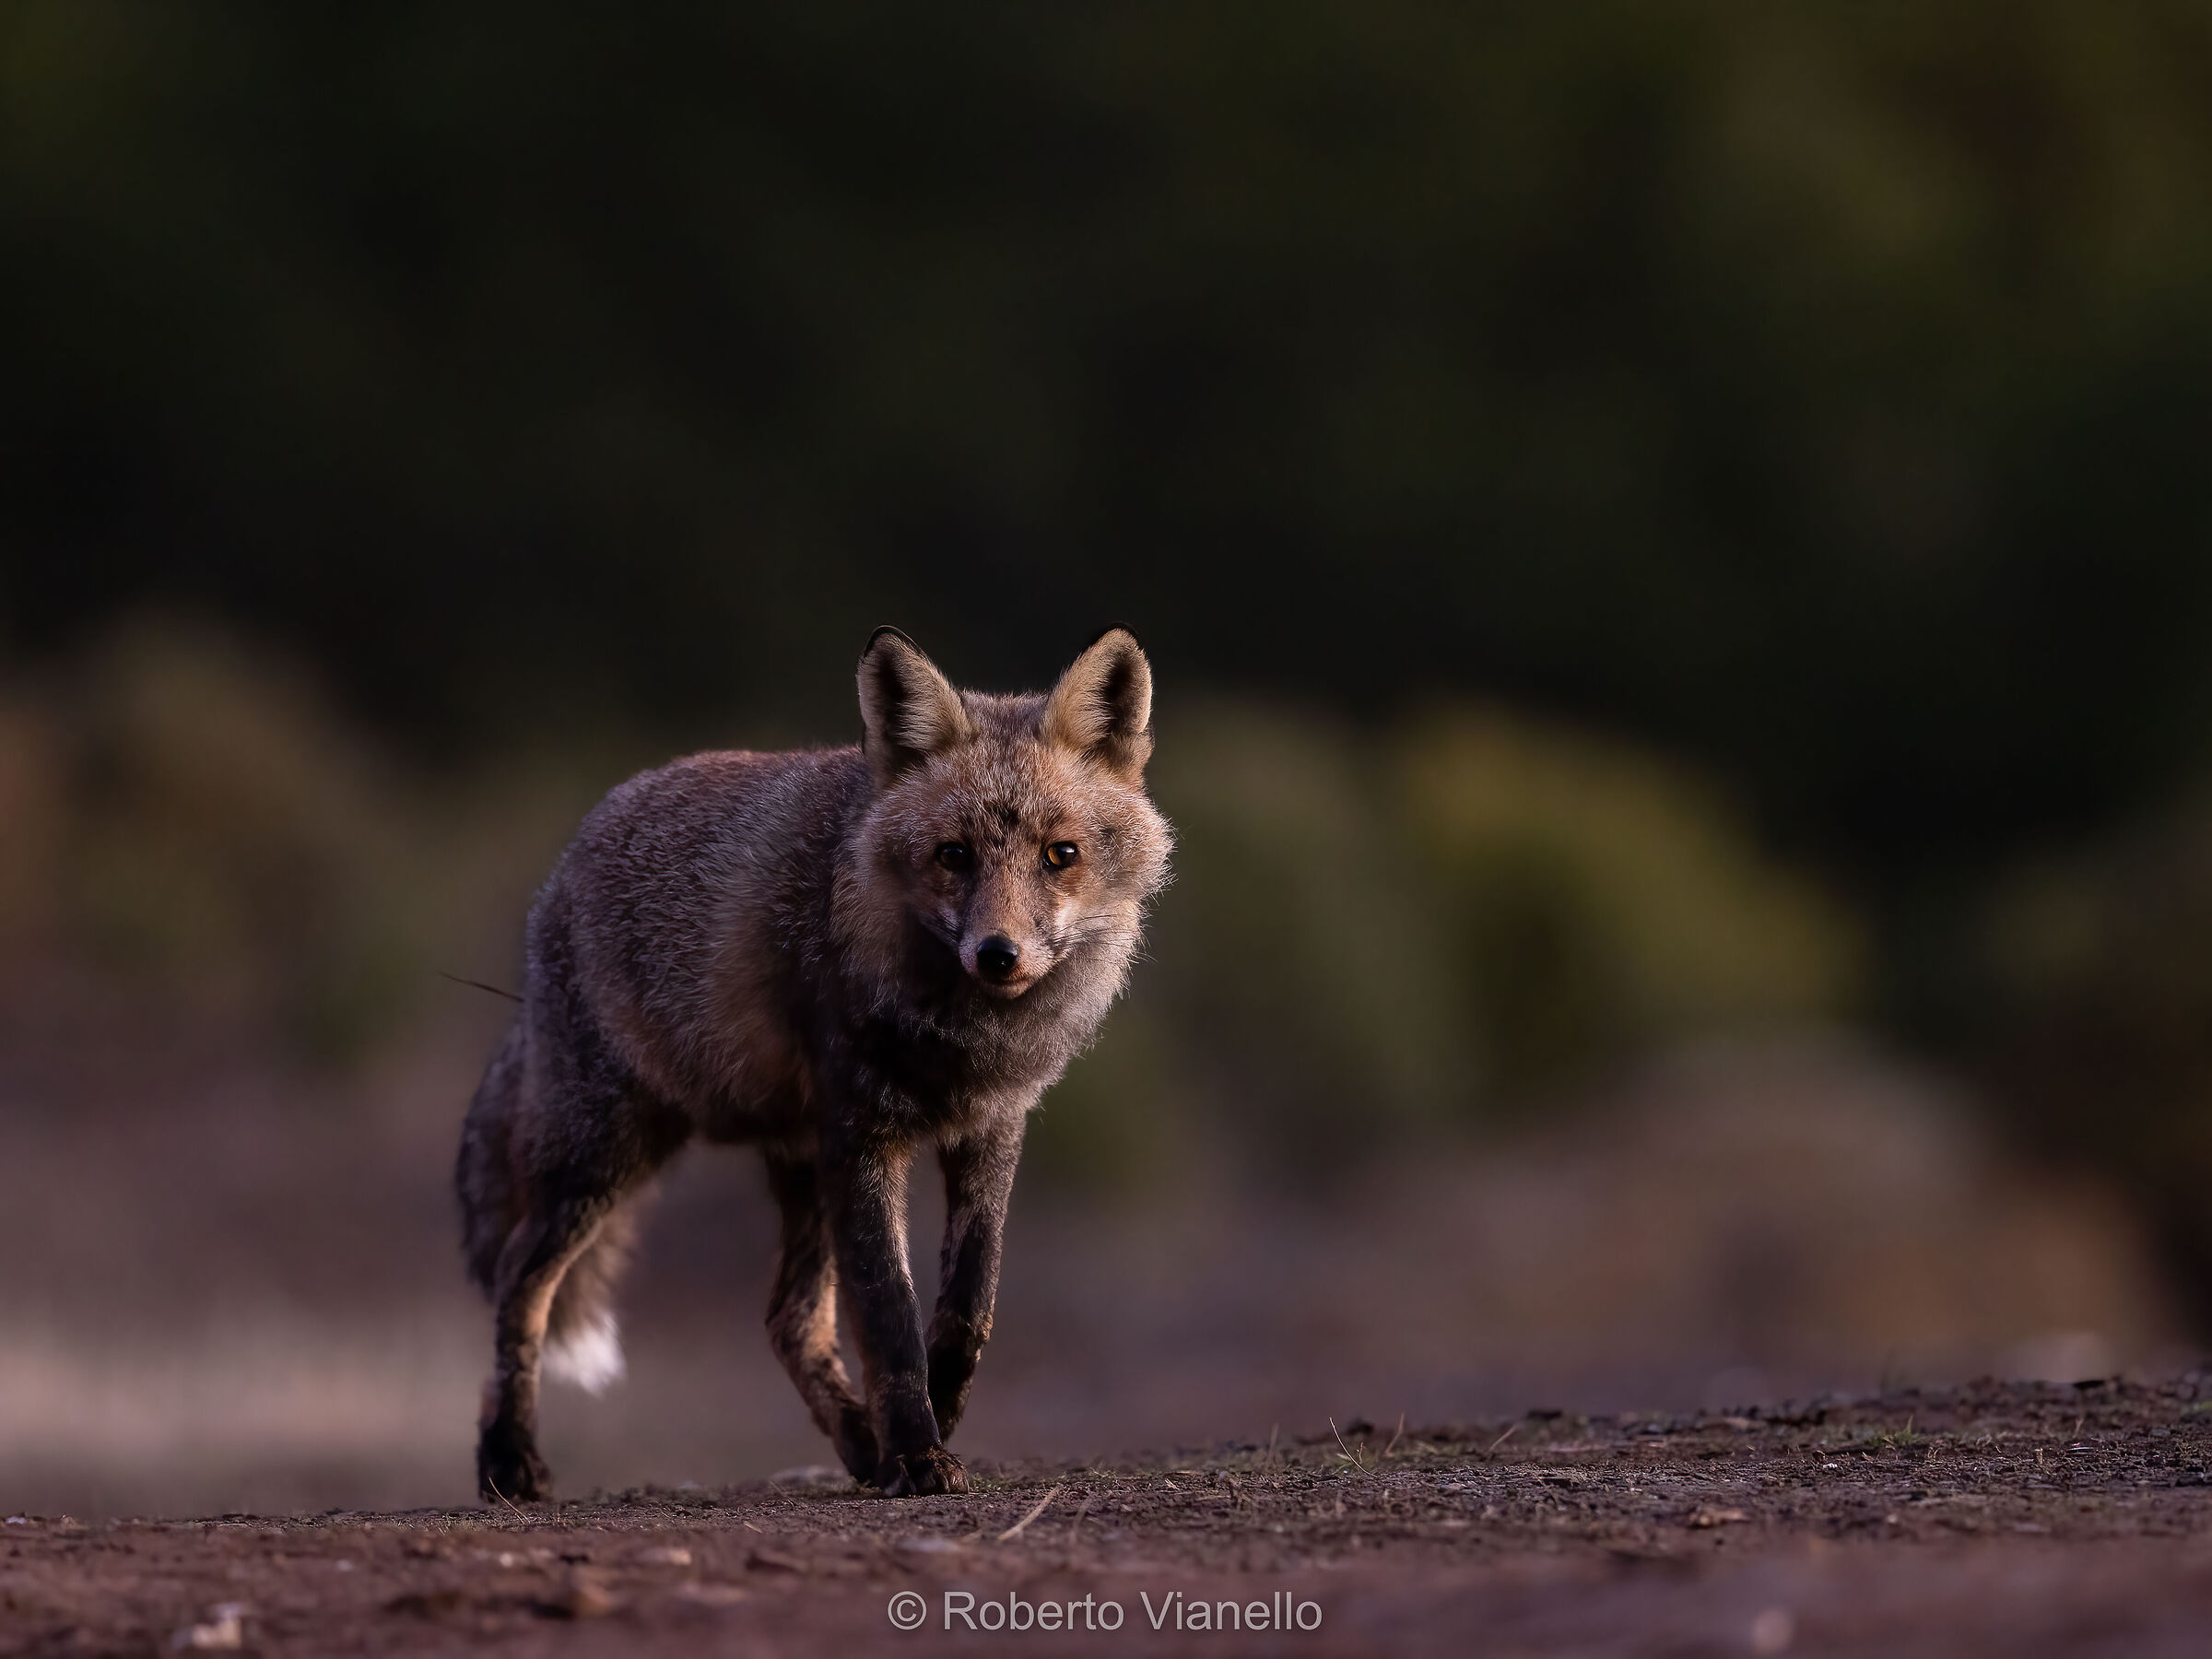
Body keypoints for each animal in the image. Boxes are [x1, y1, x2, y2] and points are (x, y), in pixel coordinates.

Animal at [454, 626, 1171, 1501]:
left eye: (1060, 854)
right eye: (954, 855)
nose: (997, 955)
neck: (955, 1037)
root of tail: (565, 862)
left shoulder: (992, 1129)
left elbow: (969, 1301)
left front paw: (932, 1416)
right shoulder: (863, 1136)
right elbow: (889, 1312)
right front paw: (919, 1452)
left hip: (793, 1161)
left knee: (787, 1321)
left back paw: (863, 1446)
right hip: (608, 1155)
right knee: (519, 1281)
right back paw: (506, 1458)